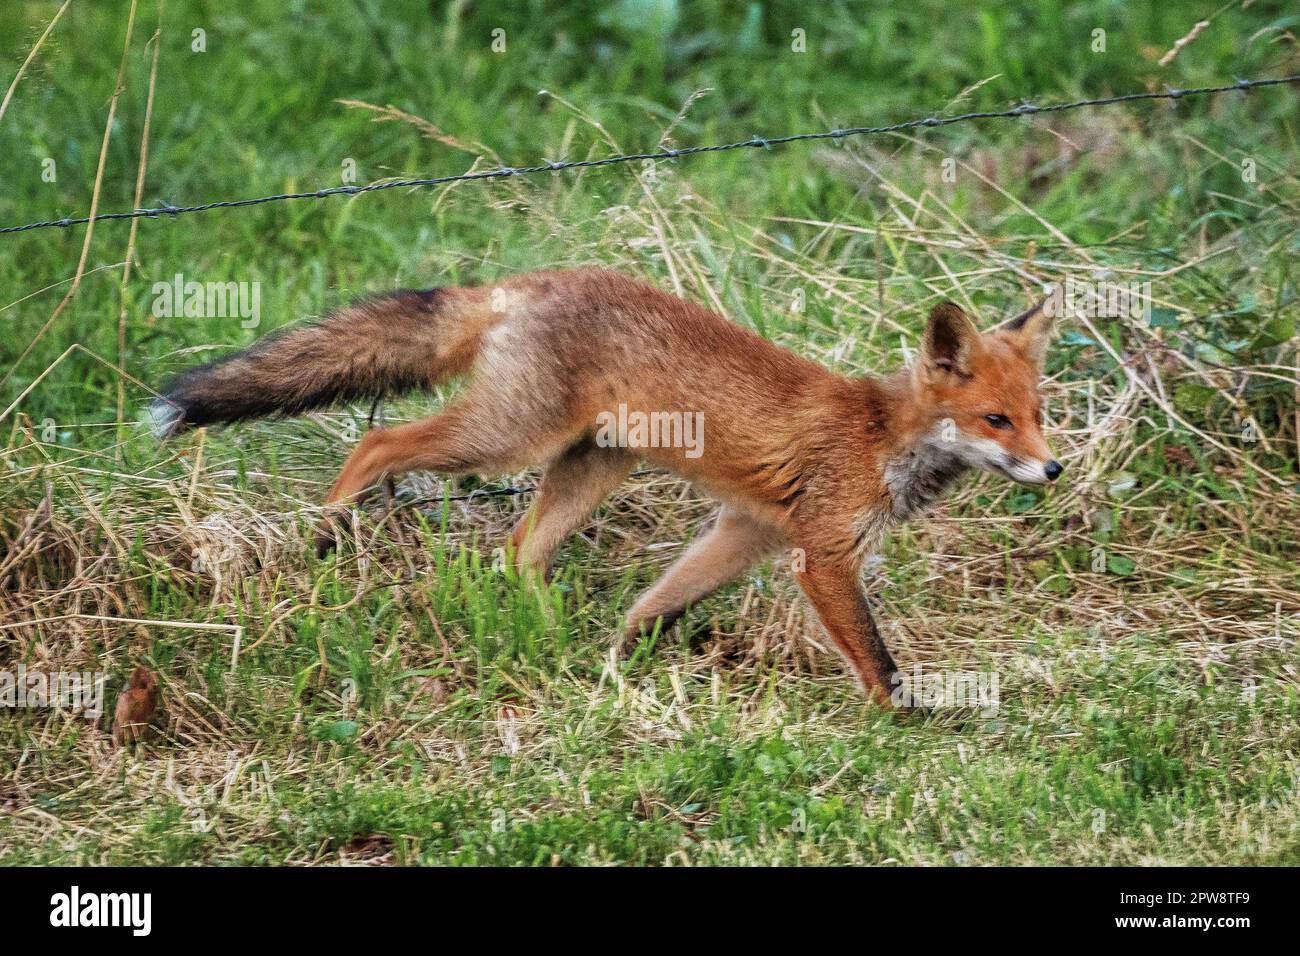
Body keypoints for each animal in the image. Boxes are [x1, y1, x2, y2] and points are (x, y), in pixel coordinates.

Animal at [149, 267, 1061, 707]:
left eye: (1038, 415)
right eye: (994, 421)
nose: (1053, 469)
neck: (880, 437)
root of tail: (520, 282)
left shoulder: (748, 530)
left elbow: (656, 604)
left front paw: (618, 662)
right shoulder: (823, 556)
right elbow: (876, 657)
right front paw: (903, 716)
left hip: (590, 464)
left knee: (519, 553)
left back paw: (545, 636)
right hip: (504, 441)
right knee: (378, 441)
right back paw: (329, 527)